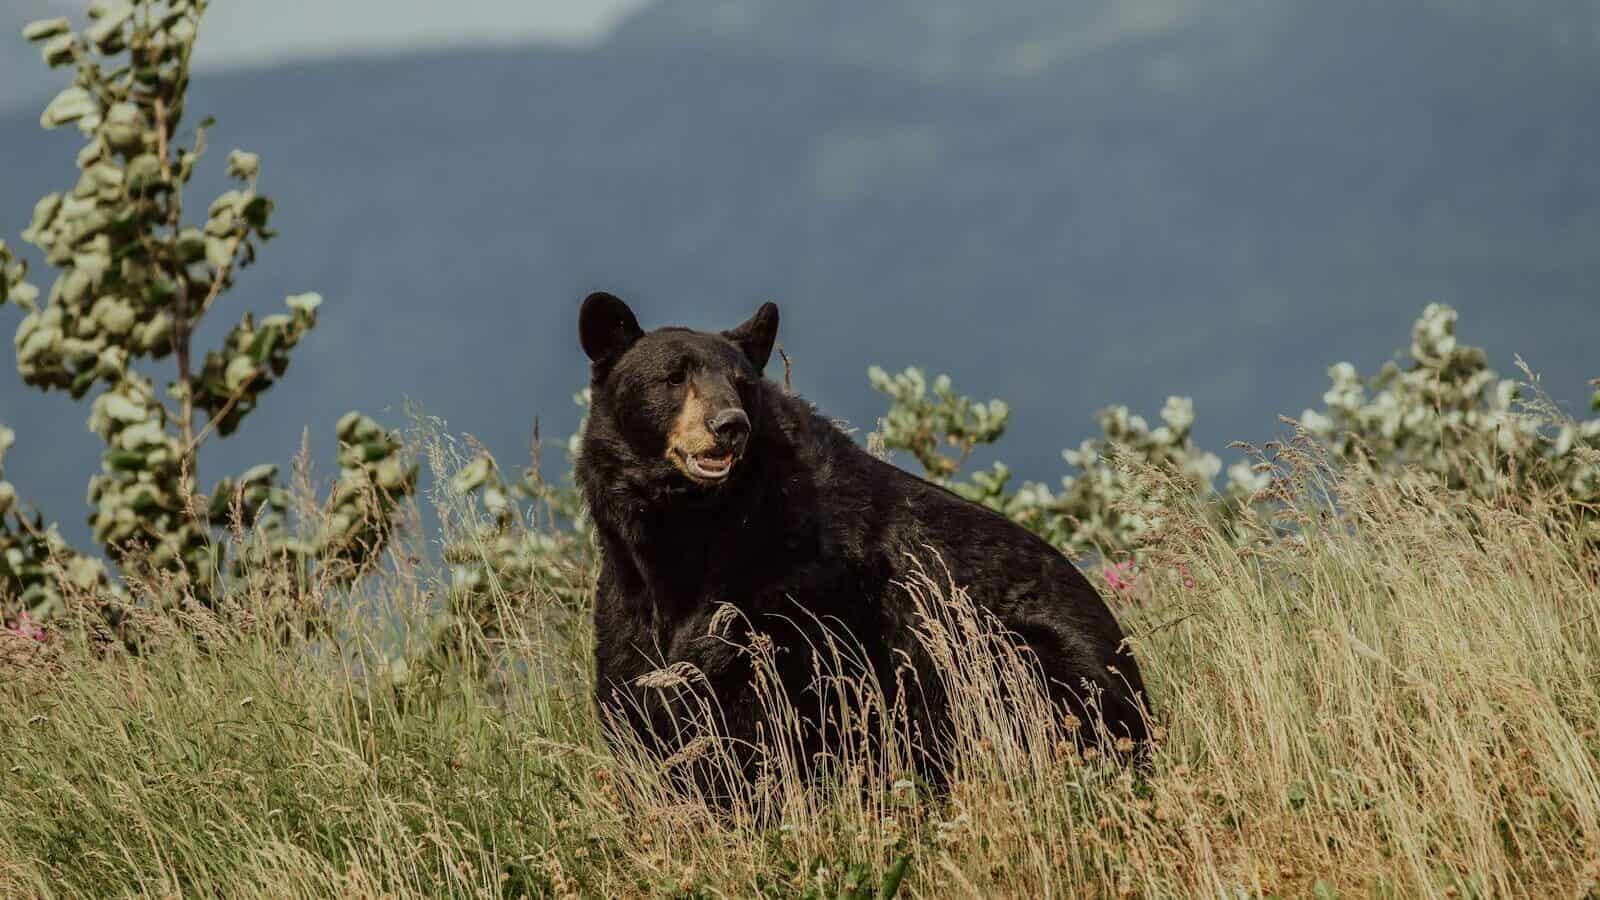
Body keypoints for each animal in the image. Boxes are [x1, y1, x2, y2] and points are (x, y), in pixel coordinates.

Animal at [575, 292, 1149, 794]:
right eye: (673, 377)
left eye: (742, 385)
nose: (729, 425)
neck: (690, 532)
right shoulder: (628, 592)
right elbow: (637, 692)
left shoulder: (797, 590)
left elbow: (769, 703)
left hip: (1017, 655)